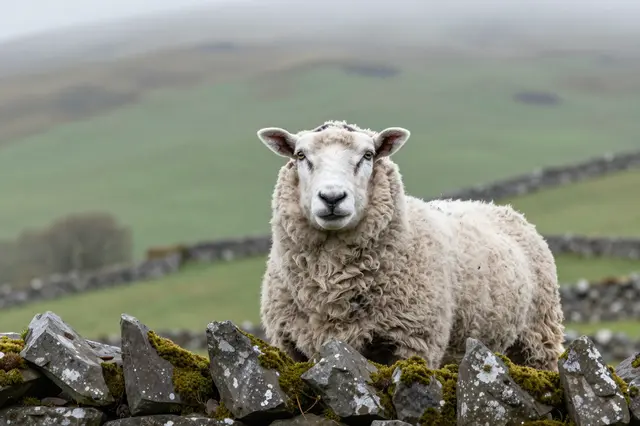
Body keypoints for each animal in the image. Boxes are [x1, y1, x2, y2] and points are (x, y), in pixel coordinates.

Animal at [255, 119, 565, 371]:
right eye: (301, 155)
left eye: (367, 155)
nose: (332, 197)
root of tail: (502, 208)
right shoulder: (289, 345)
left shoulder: (414, 342)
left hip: (539, 338)